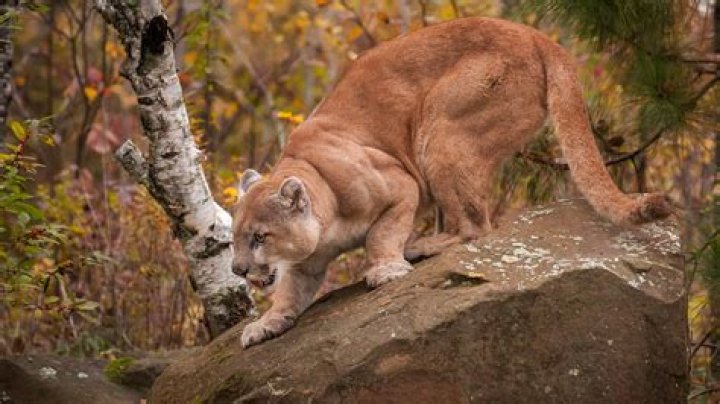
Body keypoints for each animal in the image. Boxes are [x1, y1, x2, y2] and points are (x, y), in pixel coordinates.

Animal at [231, 17, 672, 348]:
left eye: (260, 237)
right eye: (233, 239)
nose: (237, 269)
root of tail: (534, 34)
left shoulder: (401, 186)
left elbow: (381, 234)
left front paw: (385, 270)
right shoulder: (305, 263)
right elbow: (288, 293)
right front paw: (265, 324)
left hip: (441, 130)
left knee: (475, 226)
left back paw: (422, 246)